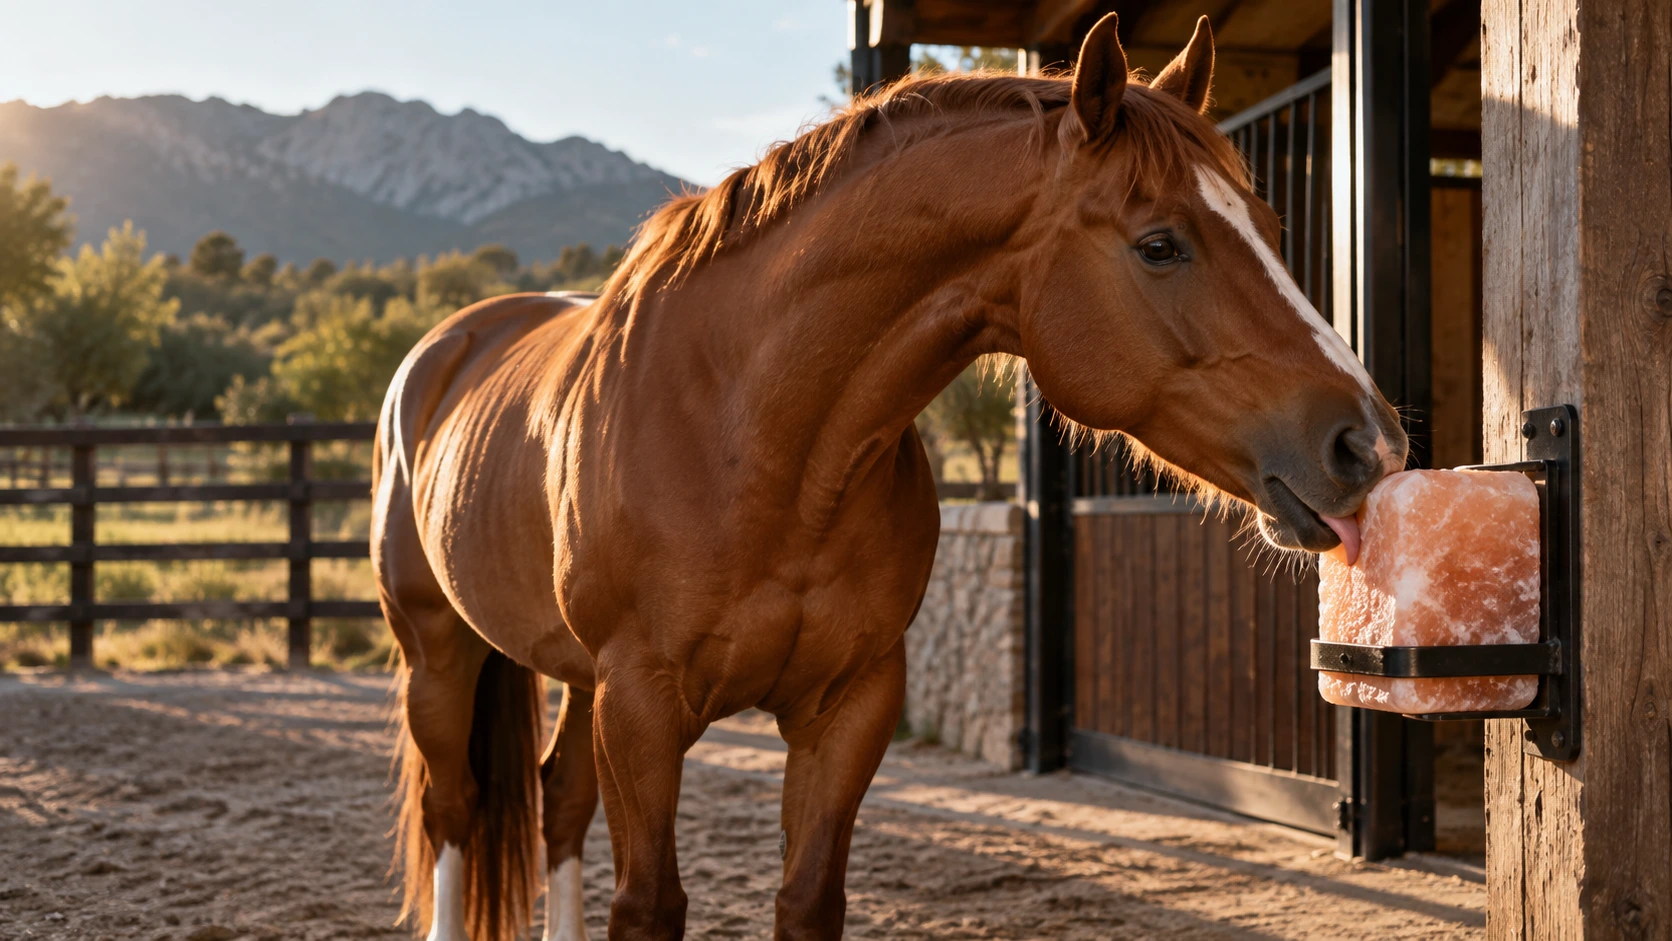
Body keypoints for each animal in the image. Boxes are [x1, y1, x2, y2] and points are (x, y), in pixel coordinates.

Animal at [370, 13, 1406, 941]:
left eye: (1268, 223)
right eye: (1160, 243)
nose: (1370, 443)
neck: (751, 439)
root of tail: (443, 349)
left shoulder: (850, 704)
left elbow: (807, 899)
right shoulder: (641, 705)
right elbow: (649, 906)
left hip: (574, 680)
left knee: (557, 803)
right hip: (441, 655)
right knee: (456, 809)